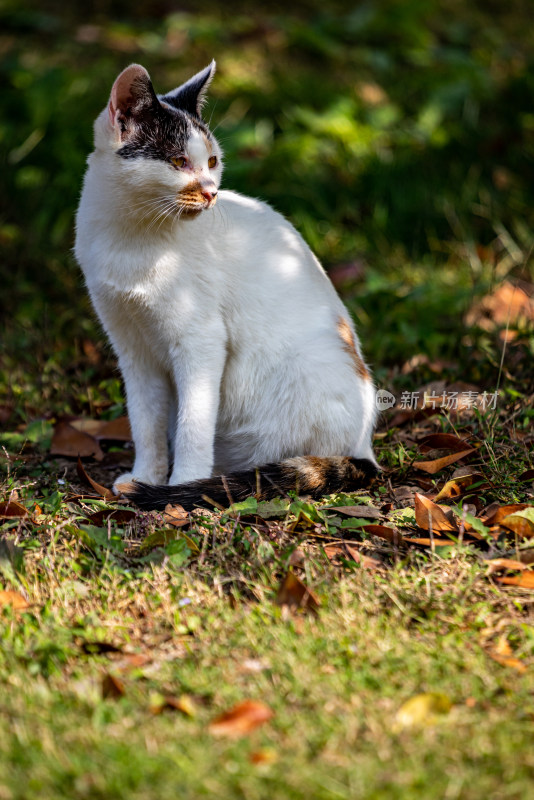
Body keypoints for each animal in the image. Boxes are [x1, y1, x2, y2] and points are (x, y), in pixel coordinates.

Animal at [74, 64, 382, 512]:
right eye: (179, 161)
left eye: (212, 160)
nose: (211, 192)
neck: (134, 237)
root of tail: (366, 449)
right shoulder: (131, 346)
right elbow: (145, 421)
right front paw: (148, 476)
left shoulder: (201, 340)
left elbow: (193, 422)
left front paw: (179, 487)